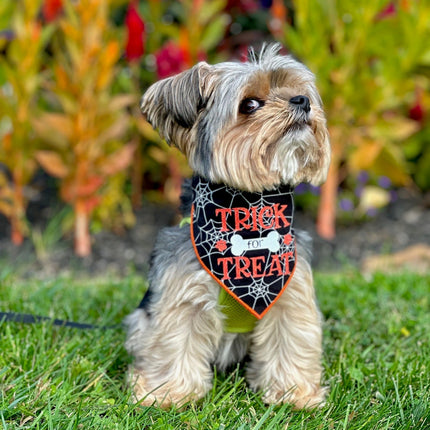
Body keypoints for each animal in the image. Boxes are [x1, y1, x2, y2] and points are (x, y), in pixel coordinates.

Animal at [126, 44, 330, 410]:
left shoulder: (290, 293)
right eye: (249, 104)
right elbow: (174, 341)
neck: (249, 208)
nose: (302, 101)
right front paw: (168, 392)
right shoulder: (182, 296)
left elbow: (291, 339)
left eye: (300, 92)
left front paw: (293, 393)